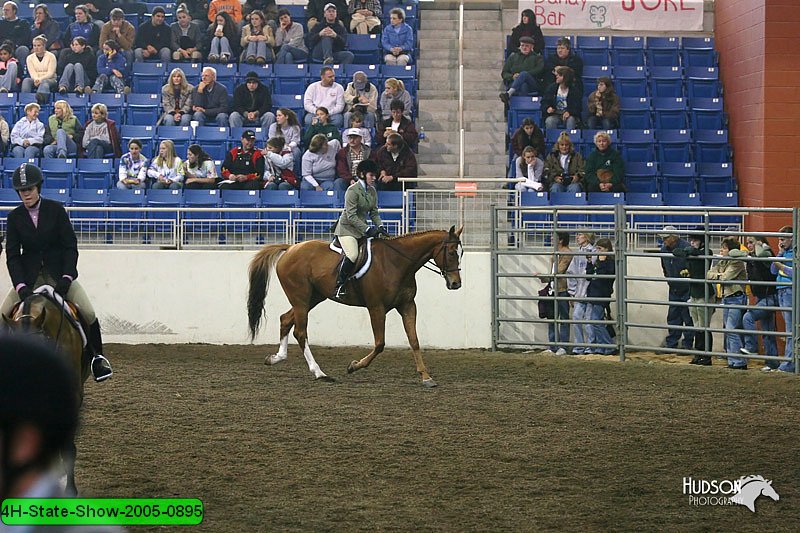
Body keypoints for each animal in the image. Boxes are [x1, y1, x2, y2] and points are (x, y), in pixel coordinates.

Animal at [247, 225, 466, 386]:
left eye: (461, 253)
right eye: (452, 252)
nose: (456, 284)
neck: (397, 263)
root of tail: (291, 248)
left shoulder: (407, 305)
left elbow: (414, 341)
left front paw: (426, 377)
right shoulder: (376, 307)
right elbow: (380, 344)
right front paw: (353, 366)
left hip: (313, 298)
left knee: (285, 319)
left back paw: (276, 358)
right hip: (301, 299)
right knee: (300, 332)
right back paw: (320, 373)